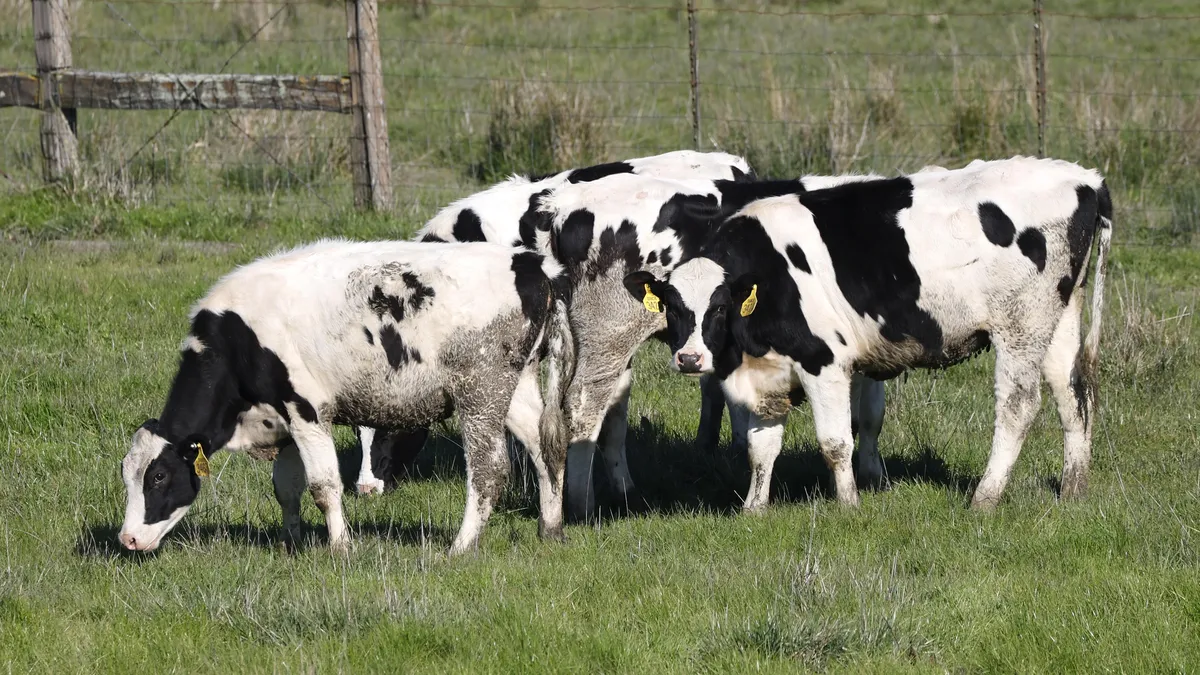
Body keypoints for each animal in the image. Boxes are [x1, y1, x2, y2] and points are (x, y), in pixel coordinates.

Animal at [119, 239, 578, 554]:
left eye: (158, 476)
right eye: (127, 475)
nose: (128, 539)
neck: (237, 341)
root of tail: (531, 263)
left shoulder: (306, 411)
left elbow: (324, 486)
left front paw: (341, 546)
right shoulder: (283, 420)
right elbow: (286, 488)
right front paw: (291, 541)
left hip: (479, 393)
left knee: (489, 470)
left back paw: (461, 546)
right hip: (514, 389)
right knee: (546, 449)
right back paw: (550, 528)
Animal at [624, 154, 1108, 506]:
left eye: (720, 307)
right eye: (672, 309)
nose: (690, 359)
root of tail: (1085, 178)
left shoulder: (823, 361)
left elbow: (835, 441)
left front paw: (849, 503)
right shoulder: (767, 372)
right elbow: (761, 448)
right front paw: (754, 508)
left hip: (1020, 326)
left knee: (1018, 405)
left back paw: (985, 498)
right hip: (1059, 319)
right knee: (1072, 394)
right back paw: (1073, 490)